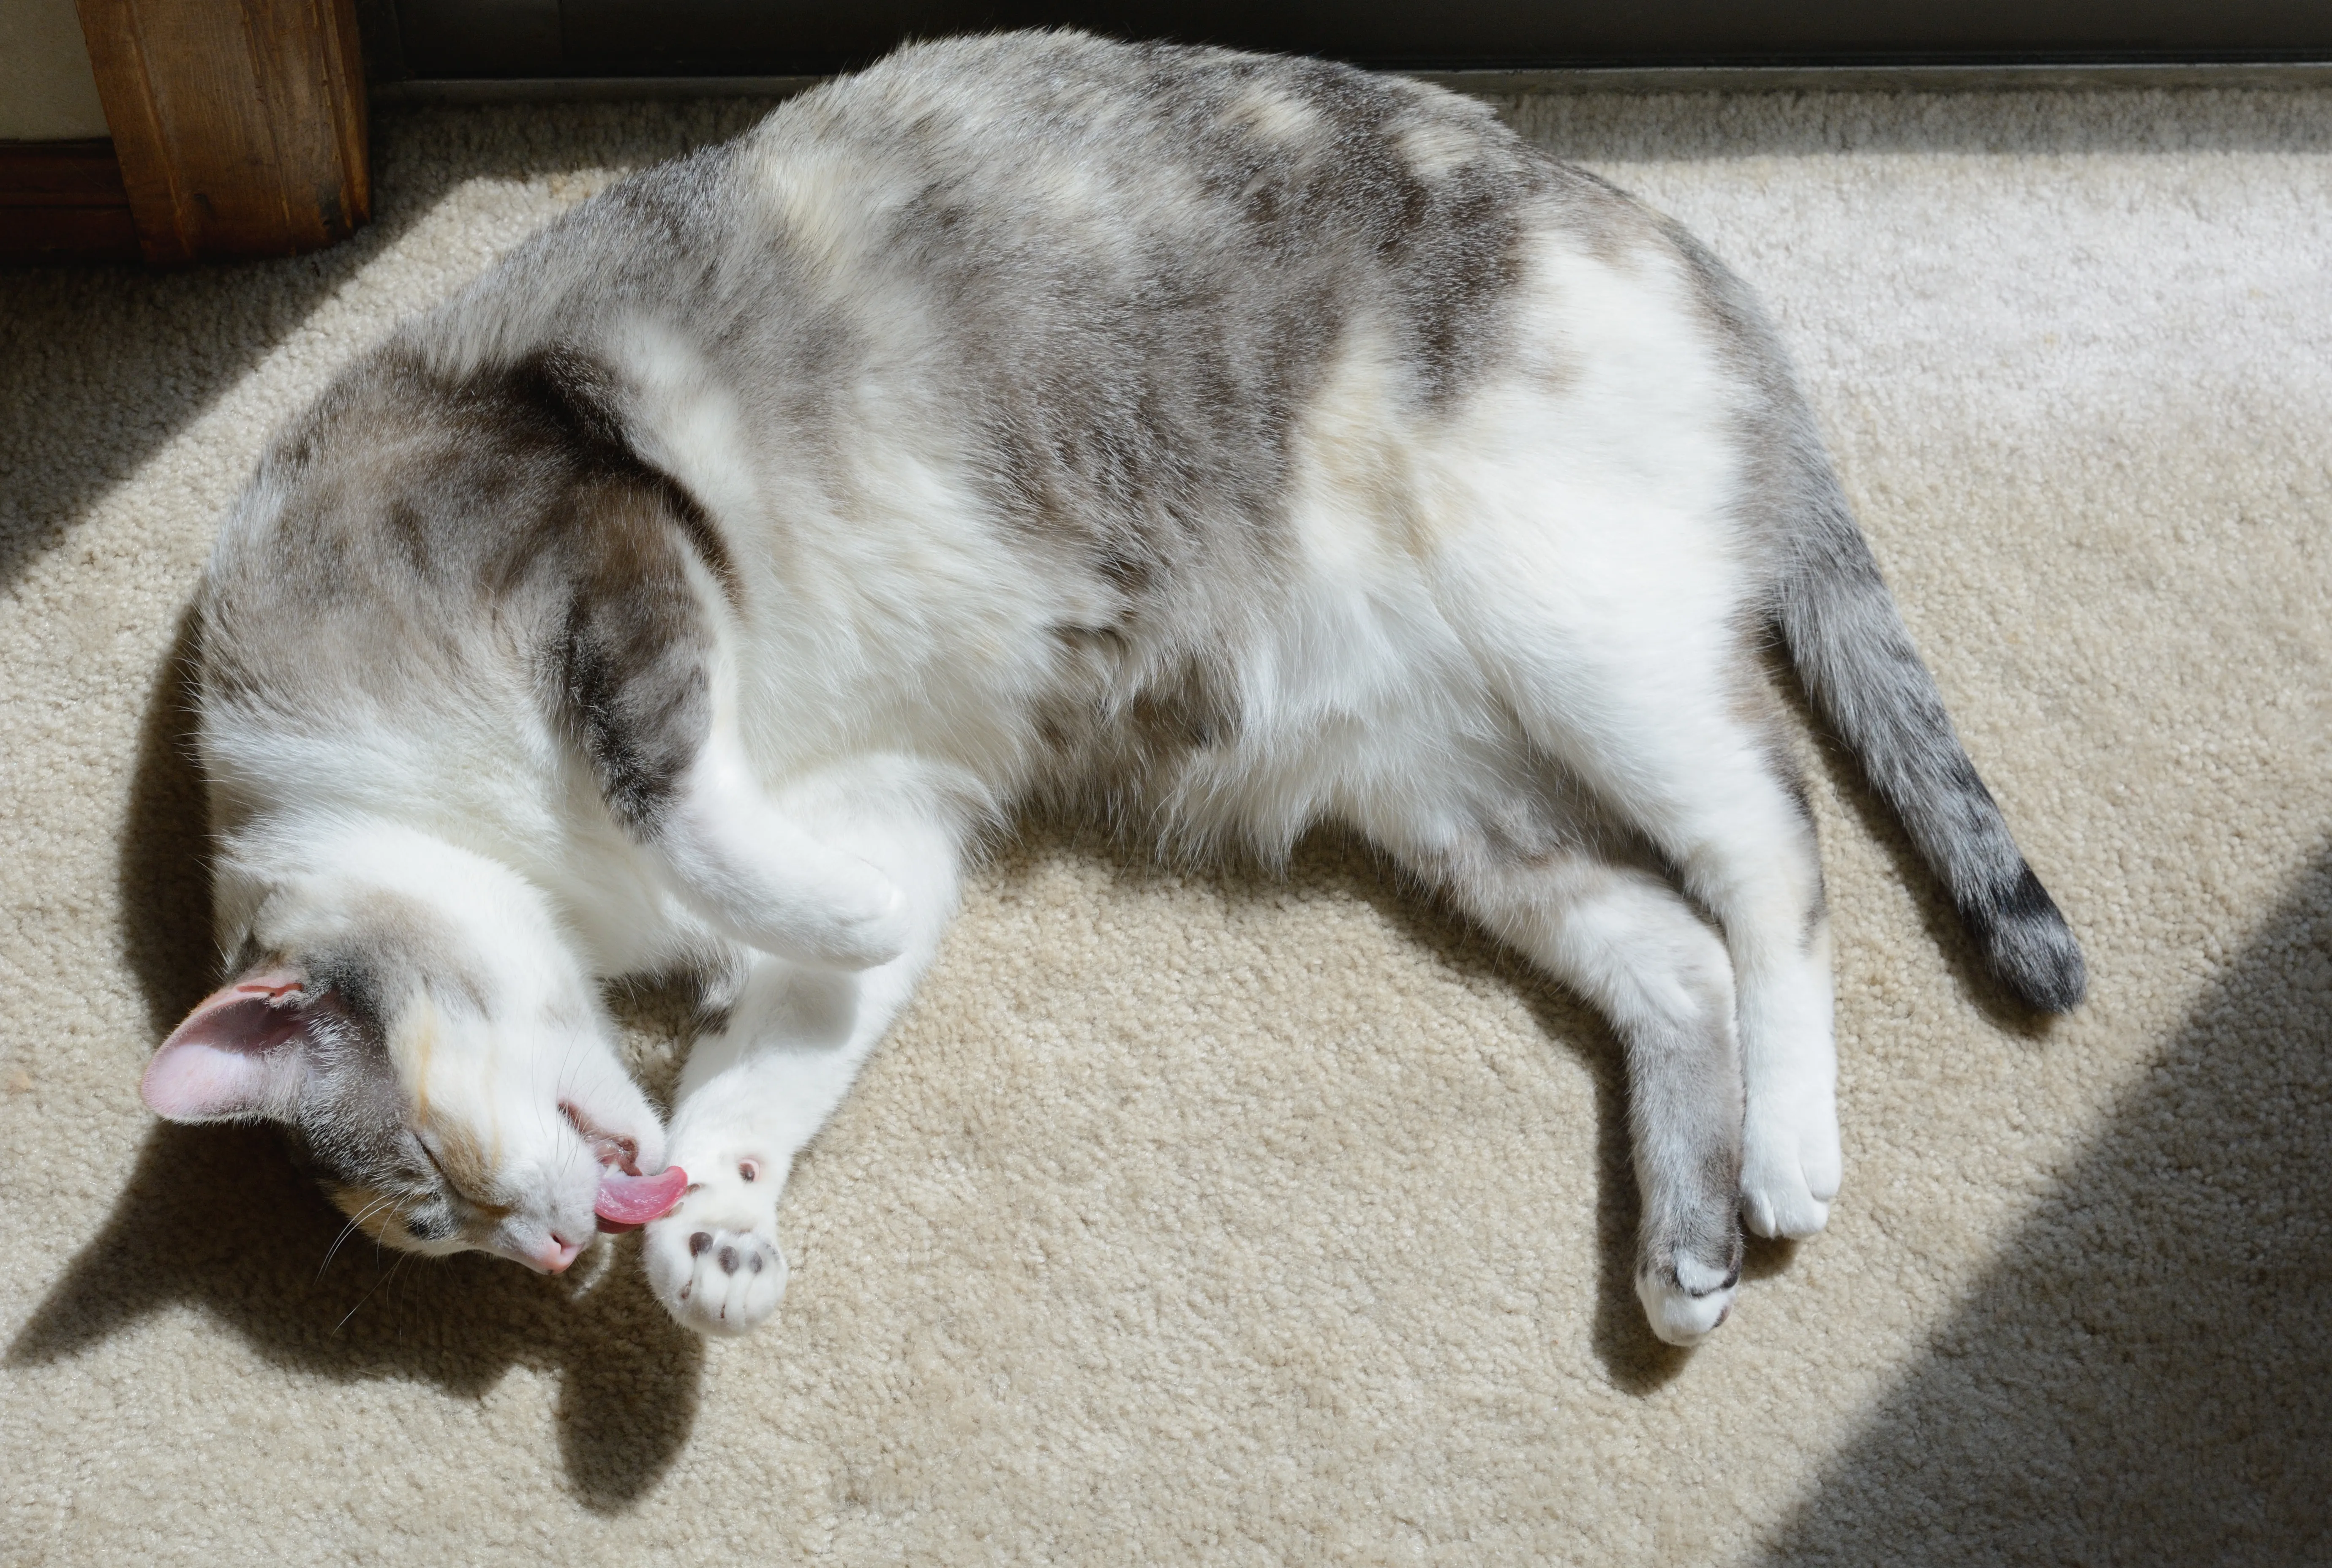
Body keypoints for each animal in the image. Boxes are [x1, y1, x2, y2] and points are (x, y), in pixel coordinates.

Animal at [136, 30, 2089, 1344]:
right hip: (1448, 790)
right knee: (1668, 947)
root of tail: (1673, 242)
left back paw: (1785, 1153)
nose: (541, 1250)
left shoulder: (592, 532)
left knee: (1772, 844)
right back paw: (1681, 1257)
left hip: (1581, 633)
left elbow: (690, 802)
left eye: (419, 1185)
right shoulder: (892, 800)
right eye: (432, 1235)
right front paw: (716, 1231)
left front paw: (784, 934)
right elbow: (776, 1066)